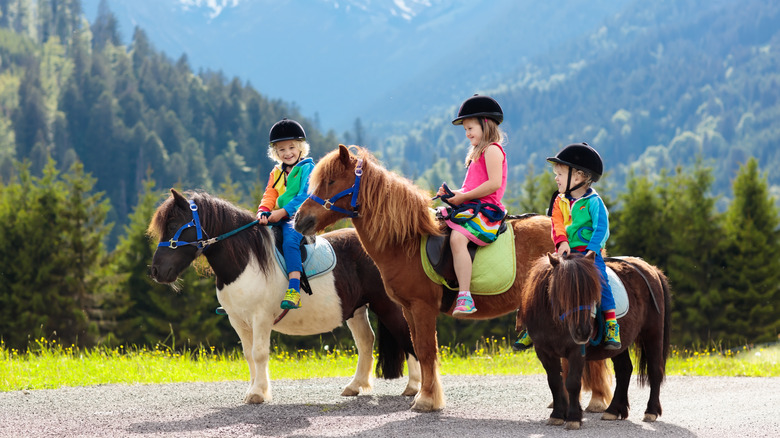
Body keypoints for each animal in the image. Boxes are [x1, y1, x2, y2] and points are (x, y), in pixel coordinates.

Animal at [296, 145, 612, 412]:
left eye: (331, 181)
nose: (300, 220)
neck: (407, 240)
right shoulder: (409, 310)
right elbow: (420, 351)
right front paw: (425, 395)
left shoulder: (422, 307)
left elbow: (426, 351)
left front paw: (426, 400)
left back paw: (596, 399)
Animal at [516, 252, 672, 430]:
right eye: (562, 292)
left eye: (592, 293)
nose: (583, 332)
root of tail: (650, 269)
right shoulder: (544, 351)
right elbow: (555, 382)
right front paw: (557, 415)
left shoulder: (576, 351)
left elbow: (572, 382)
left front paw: (573, 418)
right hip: (619, 344)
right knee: (624, 369)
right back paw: (613, 410)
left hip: (652, 333)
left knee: (655, 370)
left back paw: (651, 411)